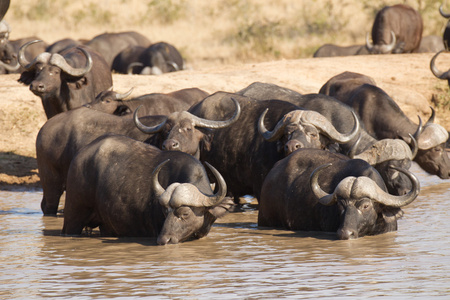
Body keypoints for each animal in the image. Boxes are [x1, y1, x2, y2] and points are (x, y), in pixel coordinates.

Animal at [61, 135, 234, 245]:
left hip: (106, 225)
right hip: (73, 217)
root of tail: (78, 157)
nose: (164, 240)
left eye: (185, 213)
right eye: (165, 212)